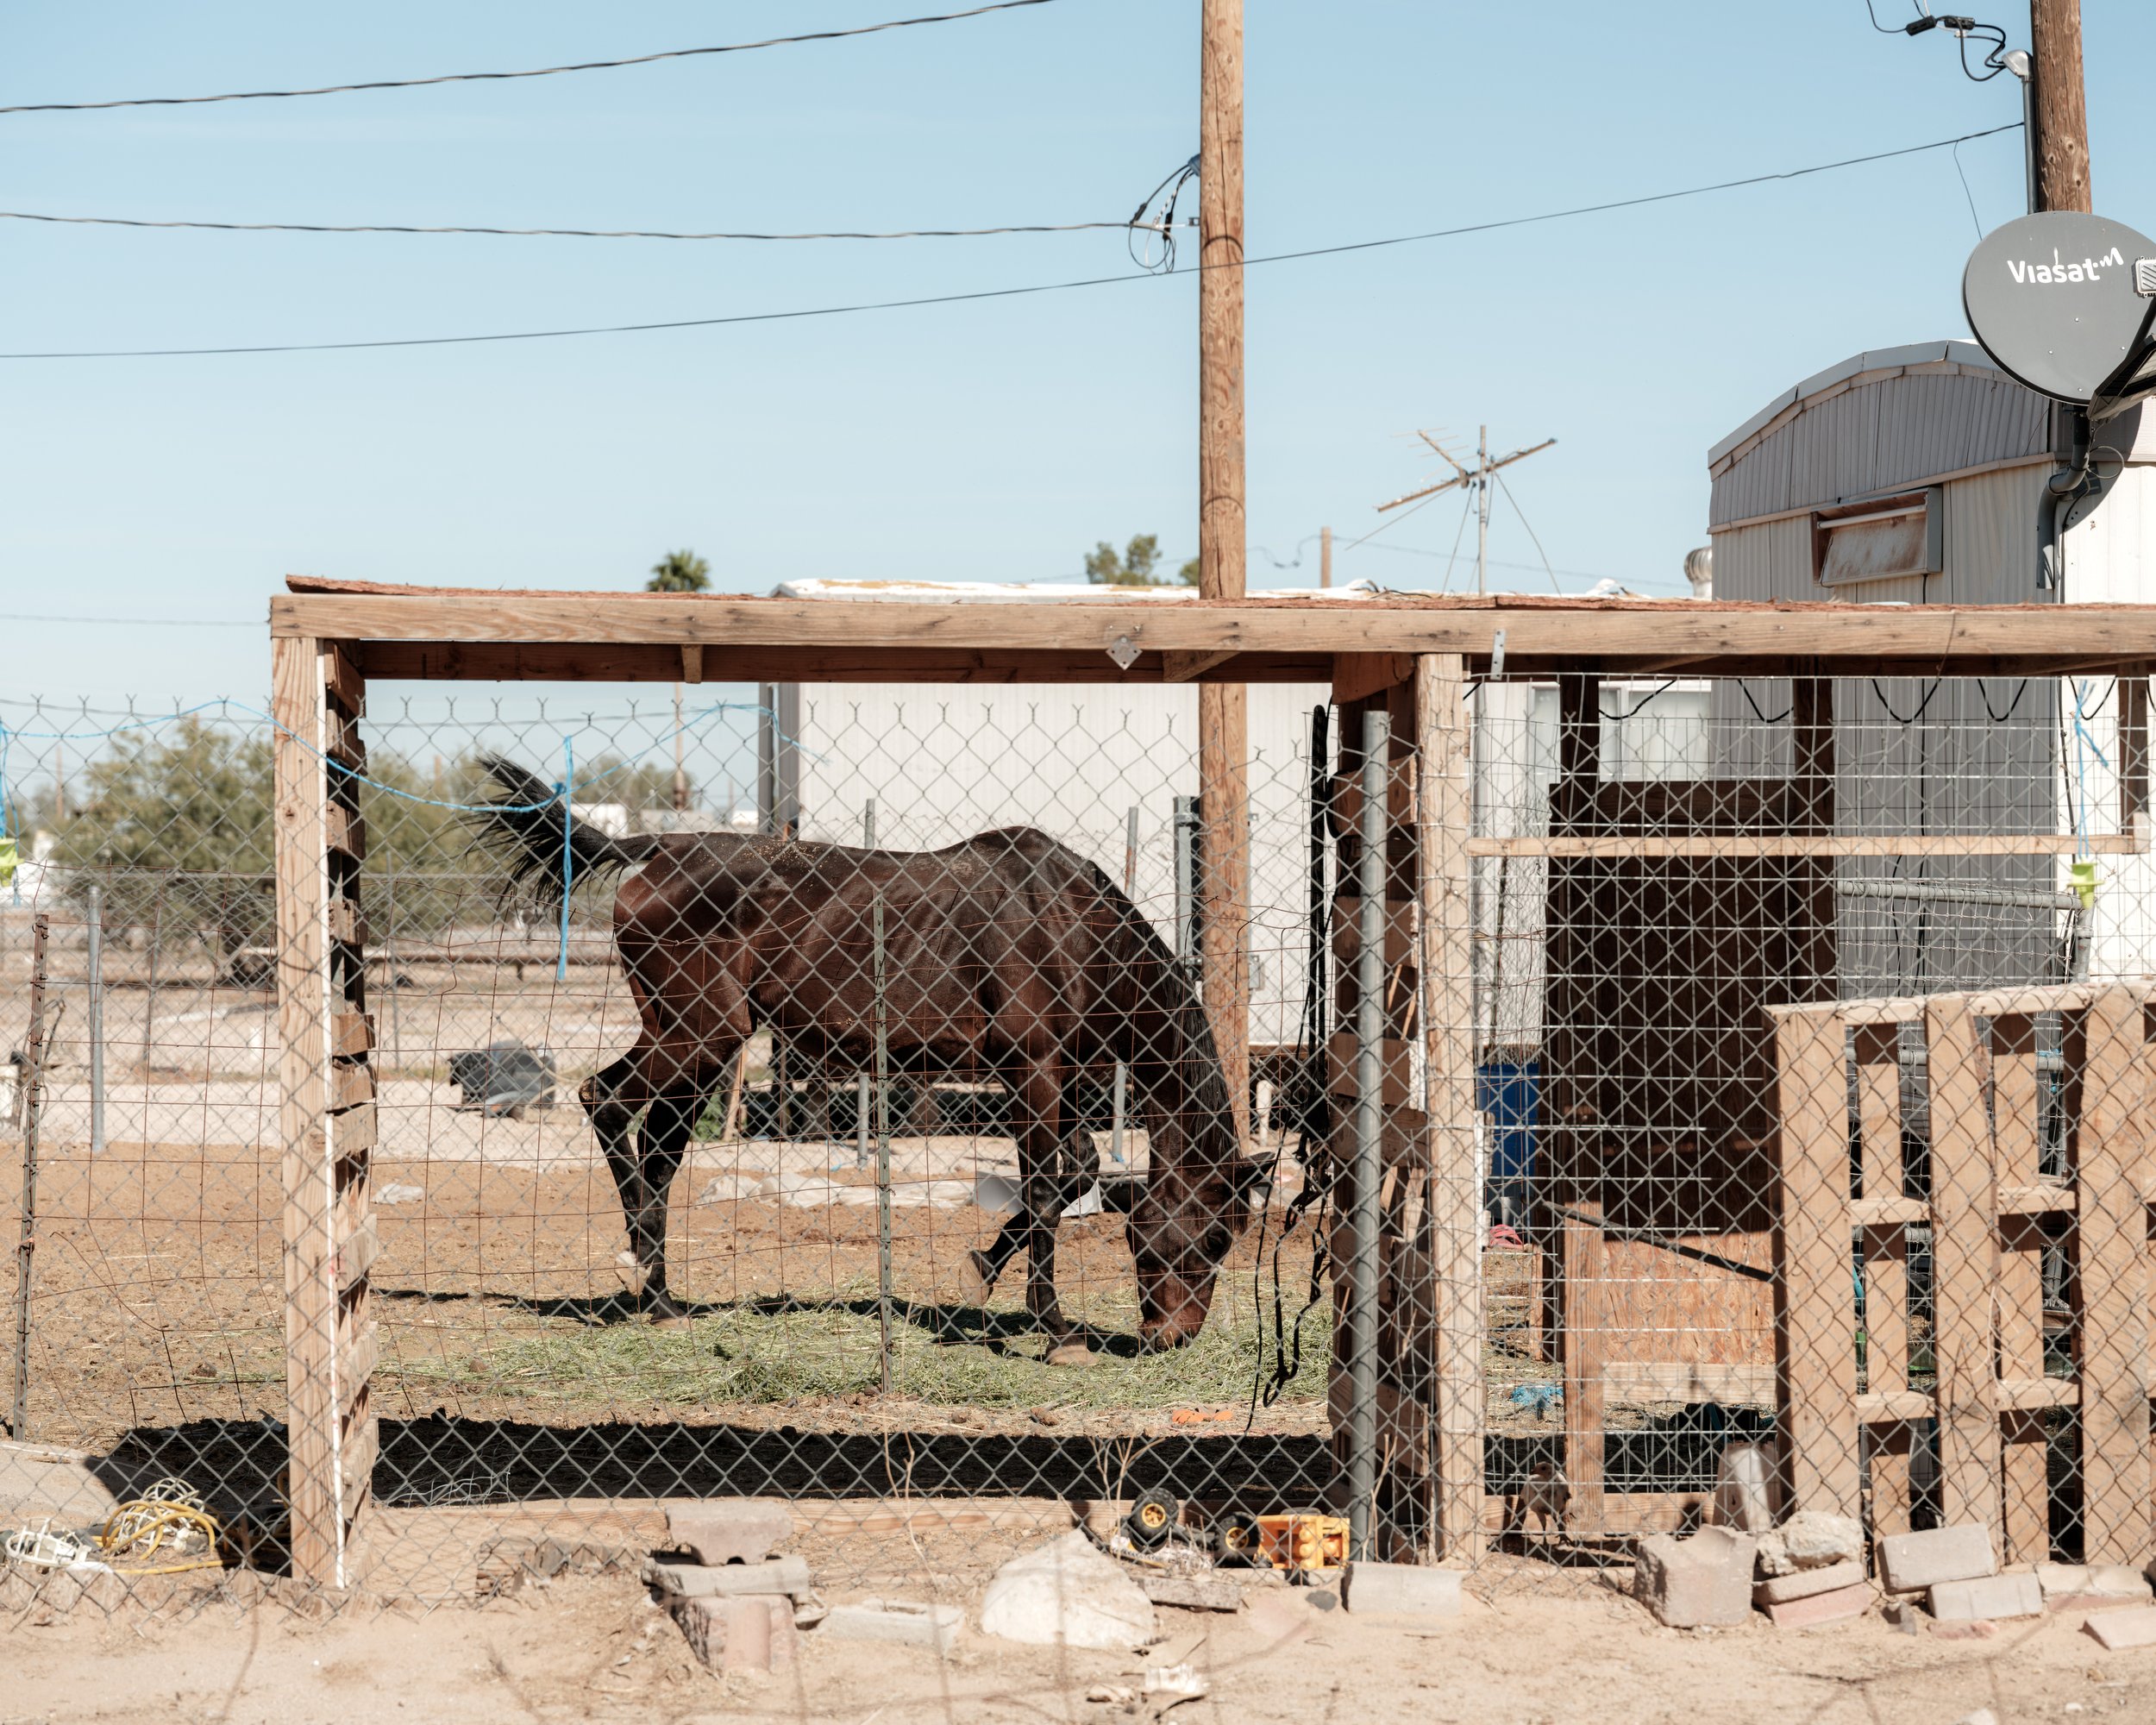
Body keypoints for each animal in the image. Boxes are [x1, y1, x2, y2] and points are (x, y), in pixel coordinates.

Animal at [470, 758, 1261, 1354]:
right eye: (1209, 1237)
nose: (1173, 1336)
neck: (1072, 930)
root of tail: (656, 850)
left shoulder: (1058, 1084)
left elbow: (1076, 1178)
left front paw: (985, 1268)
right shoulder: (1031, 1075)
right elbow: (1043, 1190)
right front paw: (1056, 1328)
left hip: (701, 1046)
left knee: (661, 1153)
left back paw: (663, 1297)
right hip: (697, 1035)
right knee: (605, 1102)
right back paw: (641, 1262)